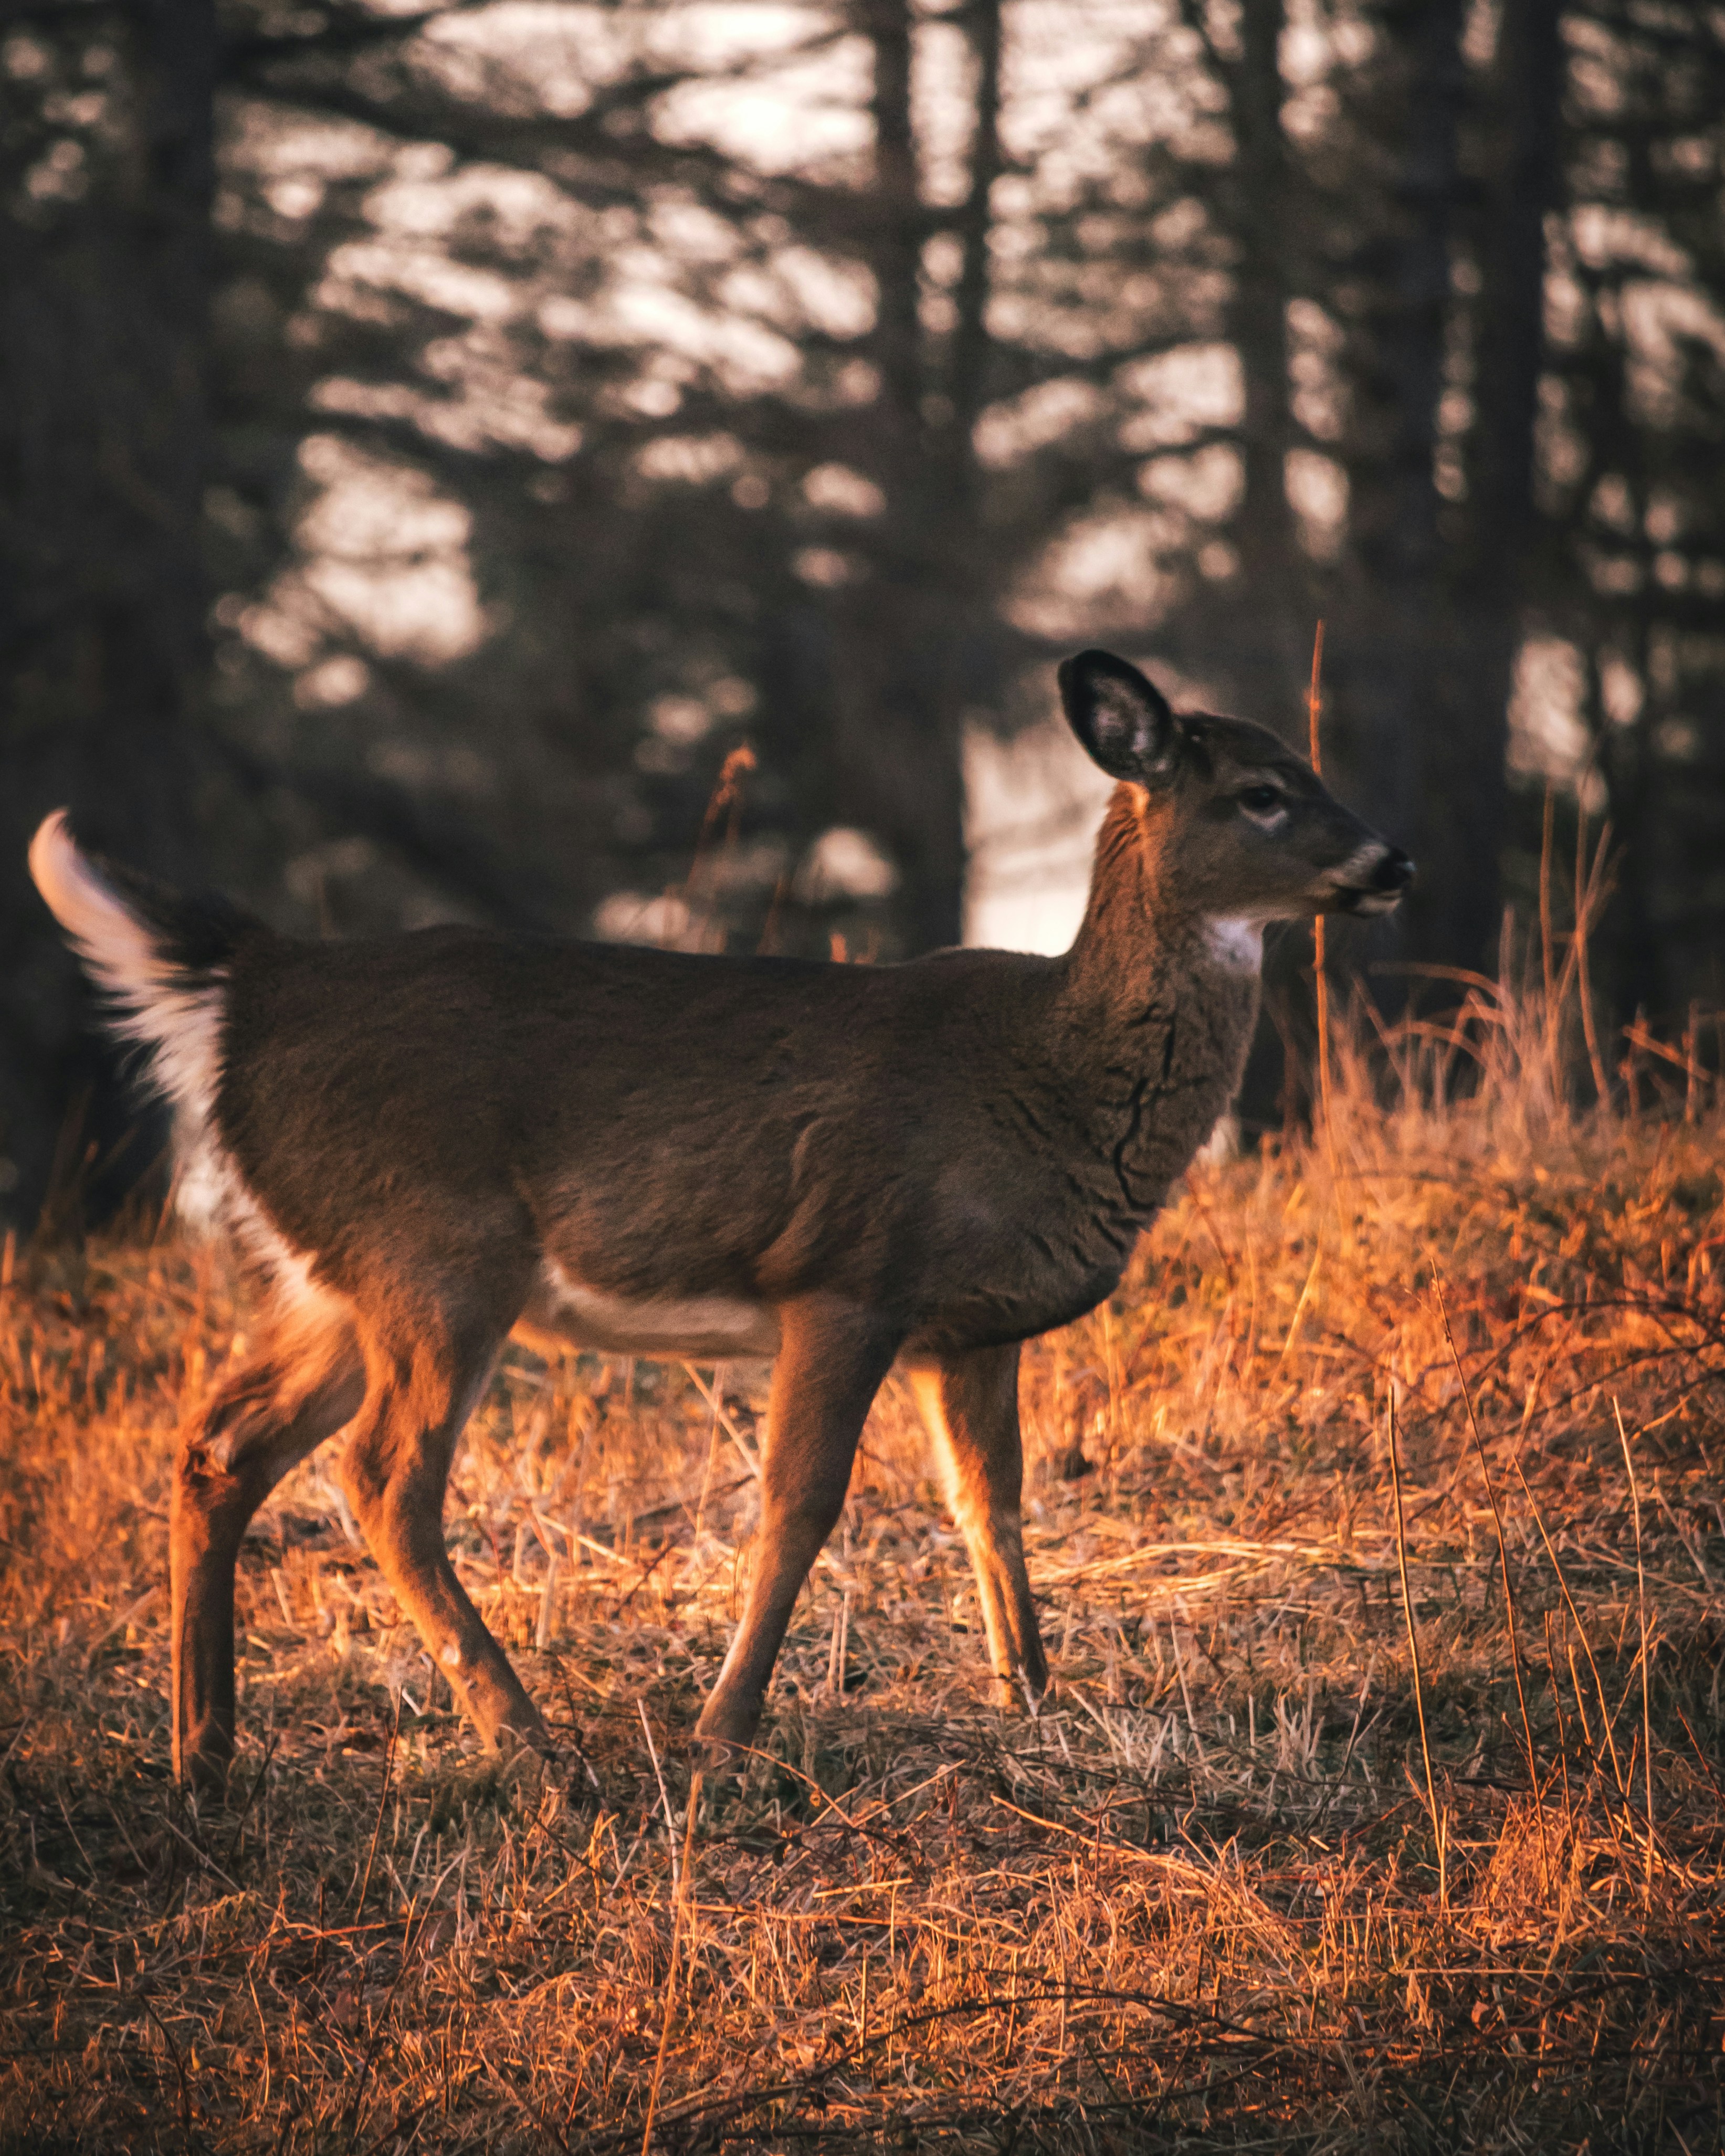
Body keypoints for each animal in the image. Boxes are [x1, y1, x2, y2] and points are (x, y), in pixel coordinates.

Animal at [30, 649, 1410, 1793]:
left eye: (1312, 771)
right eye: (1262, 791)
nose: (1392, 862)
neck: (1046, 1074)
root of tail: (248, 988)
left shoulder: (966, 1327)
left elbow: (994, 1504)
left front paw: (1033, 1698)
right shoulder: (847, 1271)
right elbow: (799, 1502)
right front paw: (723, 1732)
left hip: (331, 1274)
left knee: (220, 1444)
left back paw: (203, 1754)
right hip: (436, 1249)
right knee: (381, 1475)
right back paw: (527, 1740)